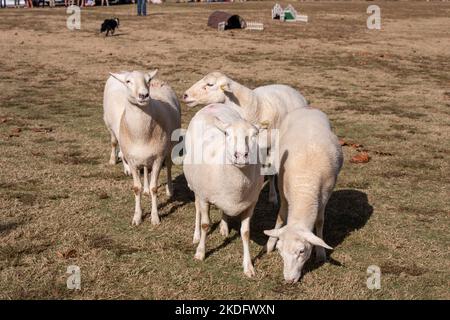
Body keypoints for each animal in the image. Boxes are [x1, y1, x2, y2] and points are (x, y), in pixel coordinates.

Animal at [262, 107, 342, 282]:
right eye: (280, 250)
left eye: (301, 251)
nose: (289, 280)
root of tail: (308, 108)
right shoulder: (284, 192)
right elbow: (281, 217)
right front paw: (270, 244)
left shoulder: (325, 194)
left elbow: (319, 221)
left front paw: (321, 252)